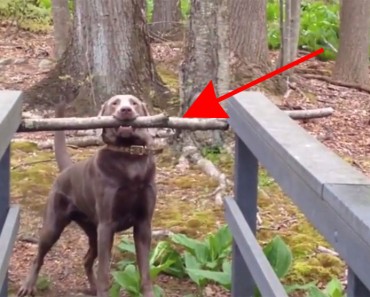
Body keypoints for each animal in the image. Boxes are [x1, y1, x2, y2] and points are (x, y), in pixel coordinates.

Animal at [18, 95, 157, 296]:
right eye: (115, 103)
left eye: (134, 102)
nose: (125, 110)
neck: (129, 158)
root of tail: (66, 170)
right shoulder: (107, 225)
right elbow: (104, 272)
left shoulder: (143, 224)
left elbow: (145, 271)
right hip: (54, 226)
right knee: (39, 256)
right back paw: (28, 286)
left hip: (93, 232)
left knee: (86, 259)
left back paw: (92, 288)